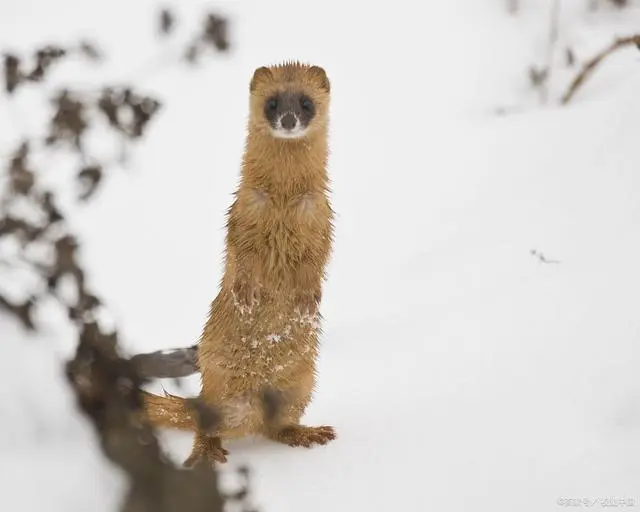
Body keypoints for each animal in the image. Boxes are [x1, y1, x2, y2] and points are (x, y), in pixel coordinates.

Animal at [143, 62, 338, 466]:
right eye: (273, 101)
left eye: (306, 102)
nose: (289, 119)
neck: (283, 204)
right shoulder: (243, 214)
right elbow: (240, 256)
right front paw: (247, 297)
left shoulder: (321, 219)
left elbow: (317, 261)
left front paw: (307, 303)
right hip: (222, 390)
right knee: (208, 424)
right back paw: (205, 453)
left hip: (301, 384)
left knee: (277, 426)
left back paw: (309, 433)